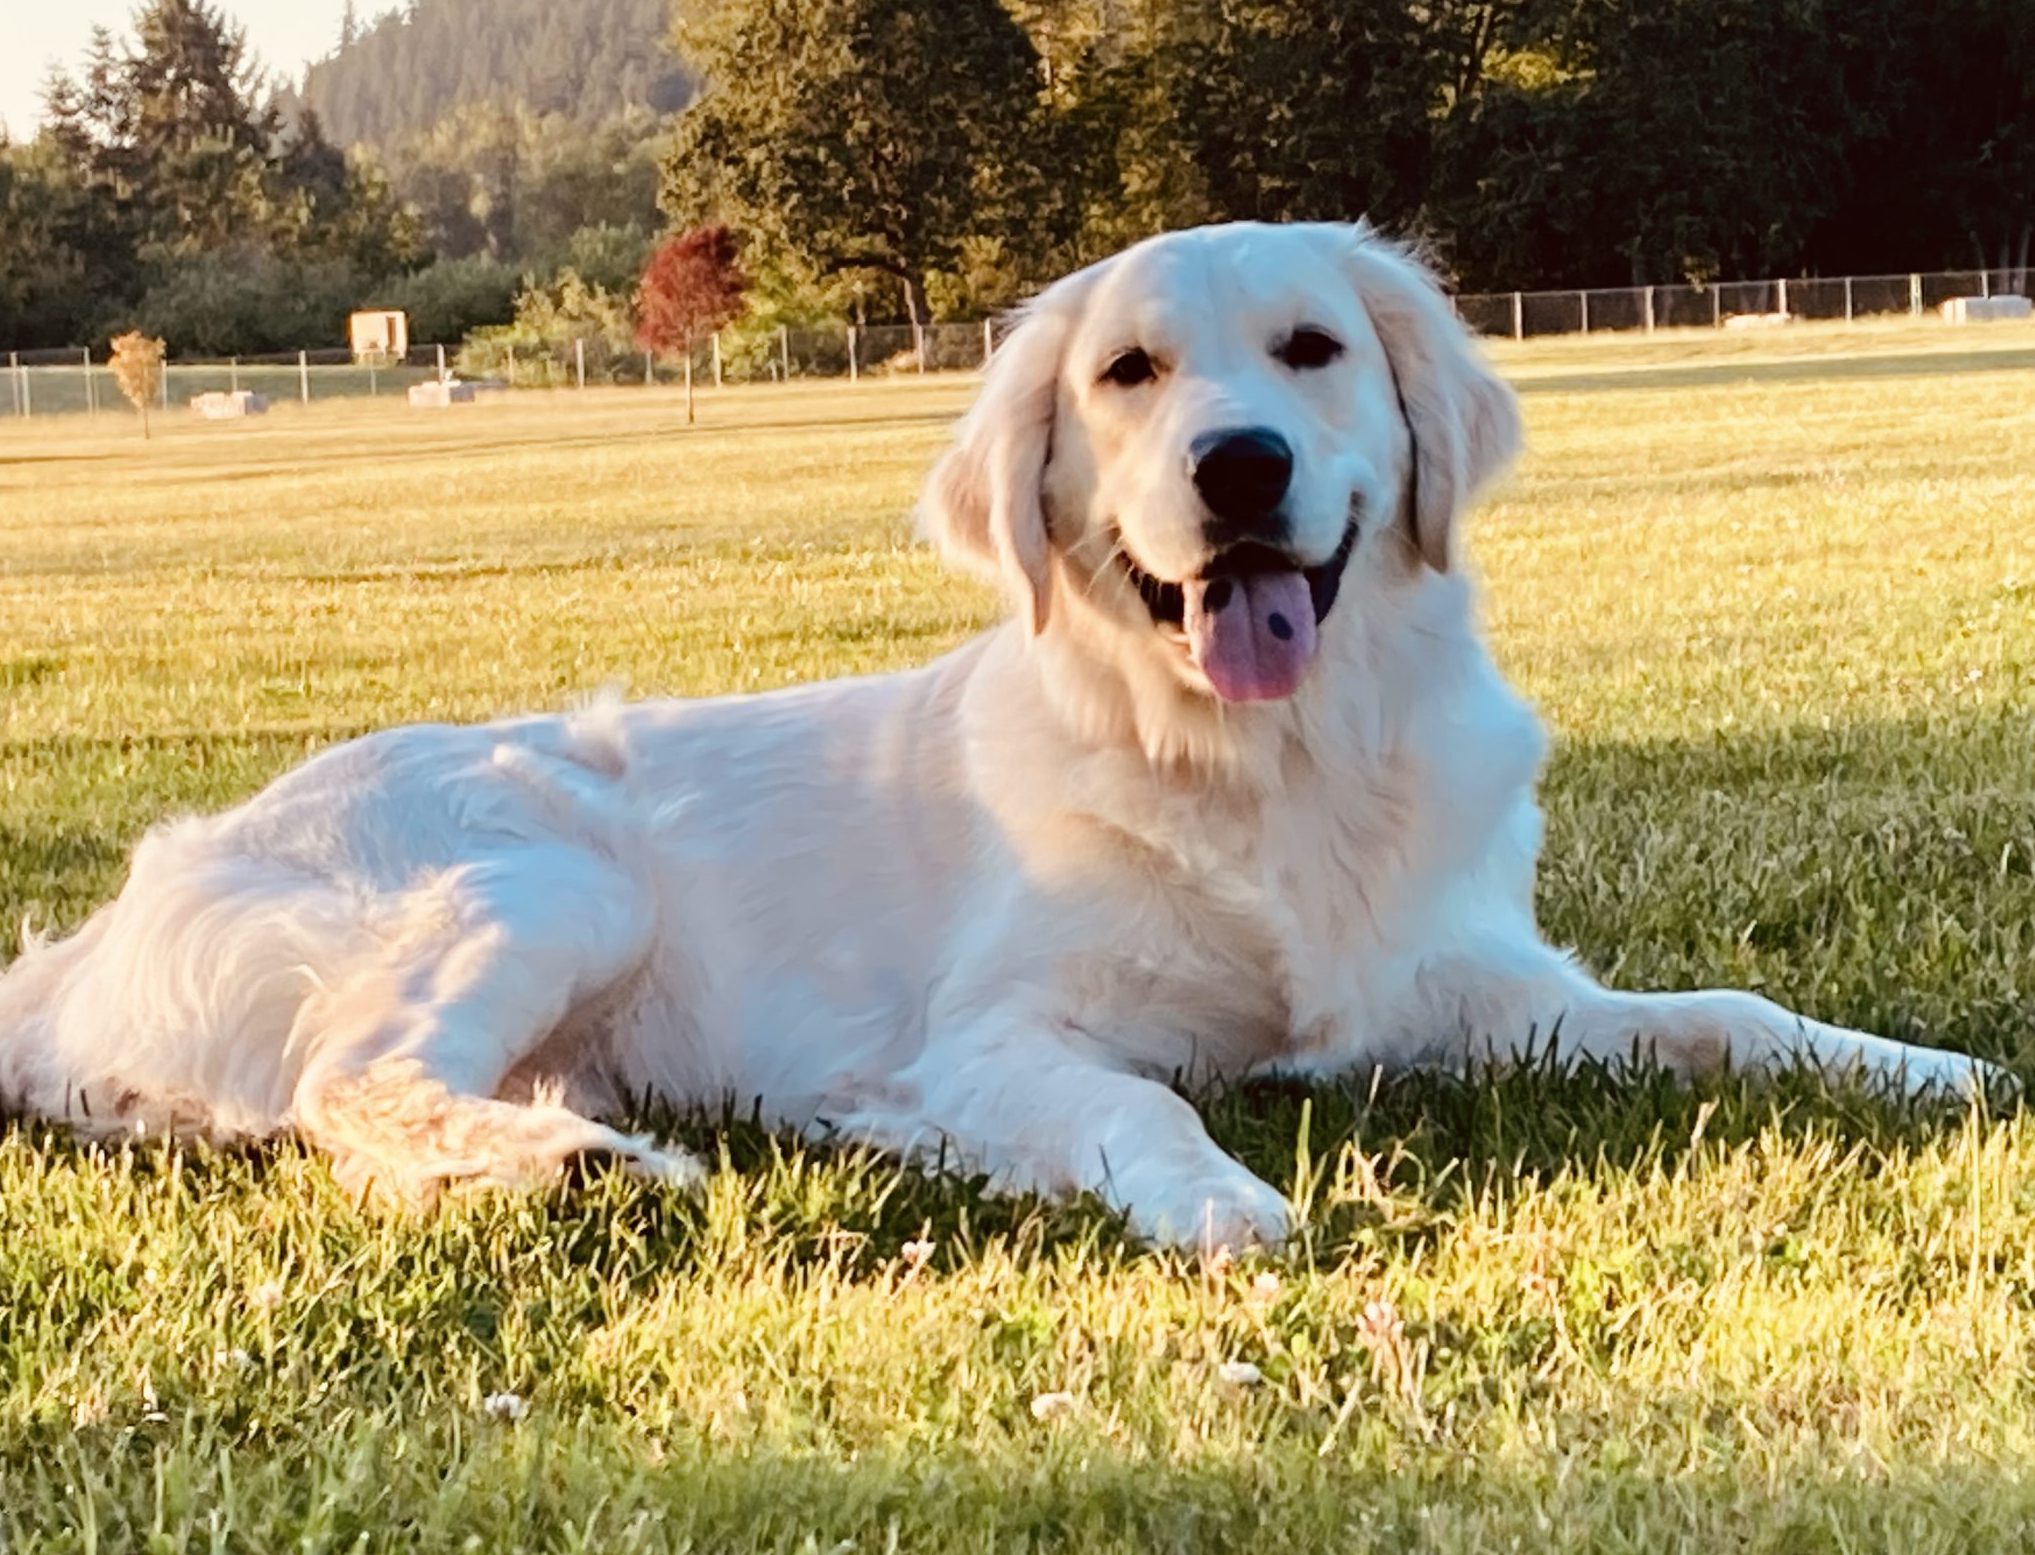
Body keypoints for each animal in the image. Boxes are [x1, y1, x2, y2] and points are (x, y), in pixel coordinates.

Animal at [0, 224, 1986, 1253]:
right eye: (1127, 375)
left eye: (1312, 348)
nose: (1237, 465)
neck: (1259, 769)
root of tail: (91, 927)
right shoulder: (992, 1039)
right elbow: (1132, 1101)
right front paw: (1221, 1203)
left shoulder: (1471, 985)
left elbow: (1729, 1012)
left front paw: (1916, 1065)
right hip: (543, 869)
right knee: (350, 1086)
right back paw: (577, 1168)